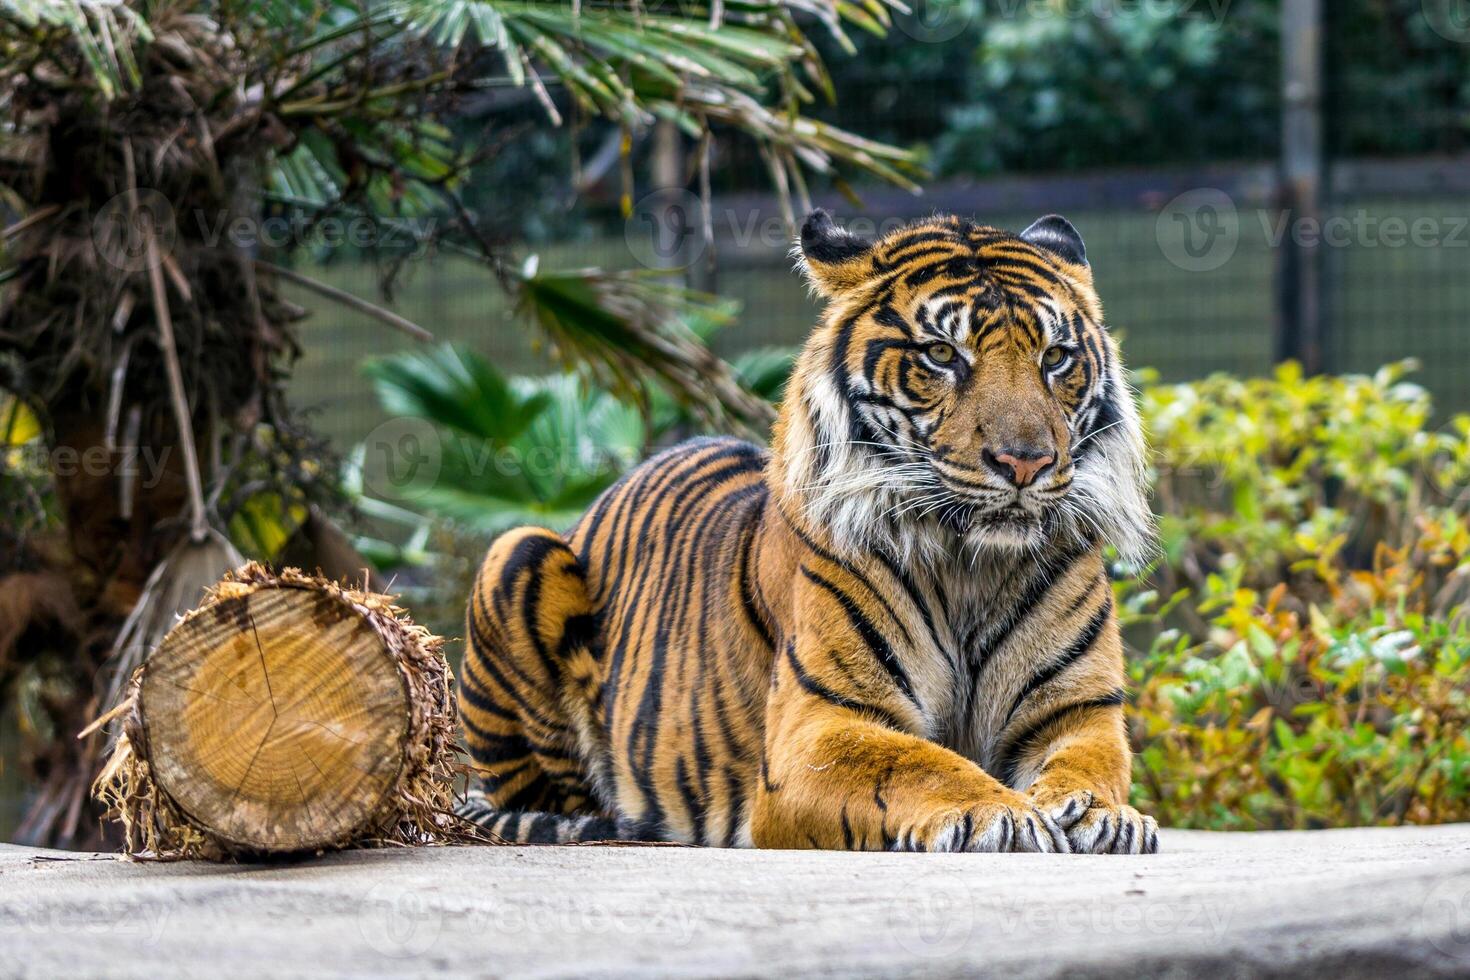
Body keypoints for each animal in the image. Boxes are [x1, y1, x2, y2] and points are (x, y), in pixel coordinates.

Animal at [455, 211, 1158, 852]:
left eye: (1055, 358)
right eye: (941, 354)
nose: (1026, 462)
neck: (972, 565)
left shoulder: (1079, 712)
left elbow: (1091, 765)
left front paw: (1102, 815)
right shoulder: (817, 728)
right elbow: (918, 763)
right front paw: (999, 812)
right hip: (517, 551)